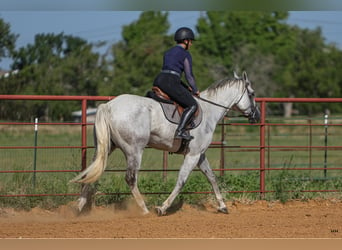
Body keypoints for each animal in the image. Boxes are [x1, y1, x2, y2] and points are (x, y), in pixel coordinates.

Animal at [71, 71, 260, 216]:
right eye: (252, 93)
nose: (257, 116)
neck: (209, 111)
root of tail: (108, 106)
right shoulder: (192, 155)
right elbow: (181, 181)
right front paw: (162, 208)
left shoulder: (200, 155)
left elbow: (212, 177)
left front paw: (222, 206)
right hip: (134, 151)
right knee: (131, 178)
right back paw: (144, 210)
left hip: (105, 148)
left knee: (90, 173)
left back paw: (78, 208)